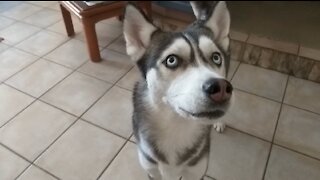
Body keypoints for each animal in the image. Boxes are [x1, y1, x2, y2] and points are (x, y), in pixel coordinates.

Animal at [123, 1, 232, 180]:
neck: (176, 125)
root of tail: (201, 19)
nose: (221, 87)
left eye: (216, 57)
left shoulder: (195, 172)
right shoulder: (152, 170)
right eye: (171, 60)